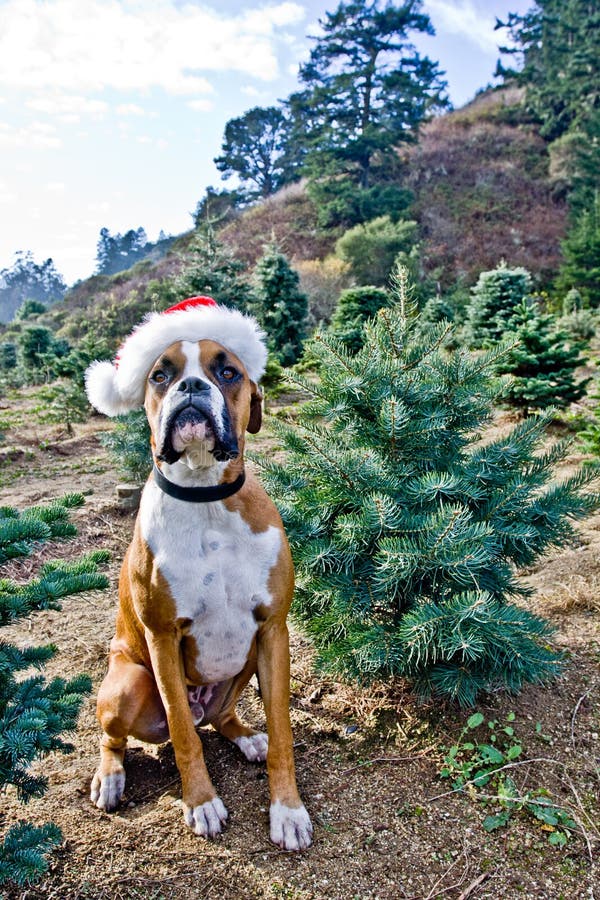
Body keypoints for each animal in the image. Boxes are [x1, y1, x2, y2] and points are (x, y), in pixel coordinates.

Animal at [86, 298, 316, 852]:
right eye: (160, 375)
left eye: (227, 371)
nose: (190, 387)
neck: (206, 495)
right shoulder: (163, 637)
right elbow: (184, 736)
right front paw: (201, 802)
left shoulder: (272, 631)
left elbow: (283, 728)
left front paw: (287, 810)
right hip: (127, 683)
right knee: (124, 734)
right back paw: (110, 777)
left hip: (244, 663)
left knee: (221, 719)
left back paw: (247, 738)